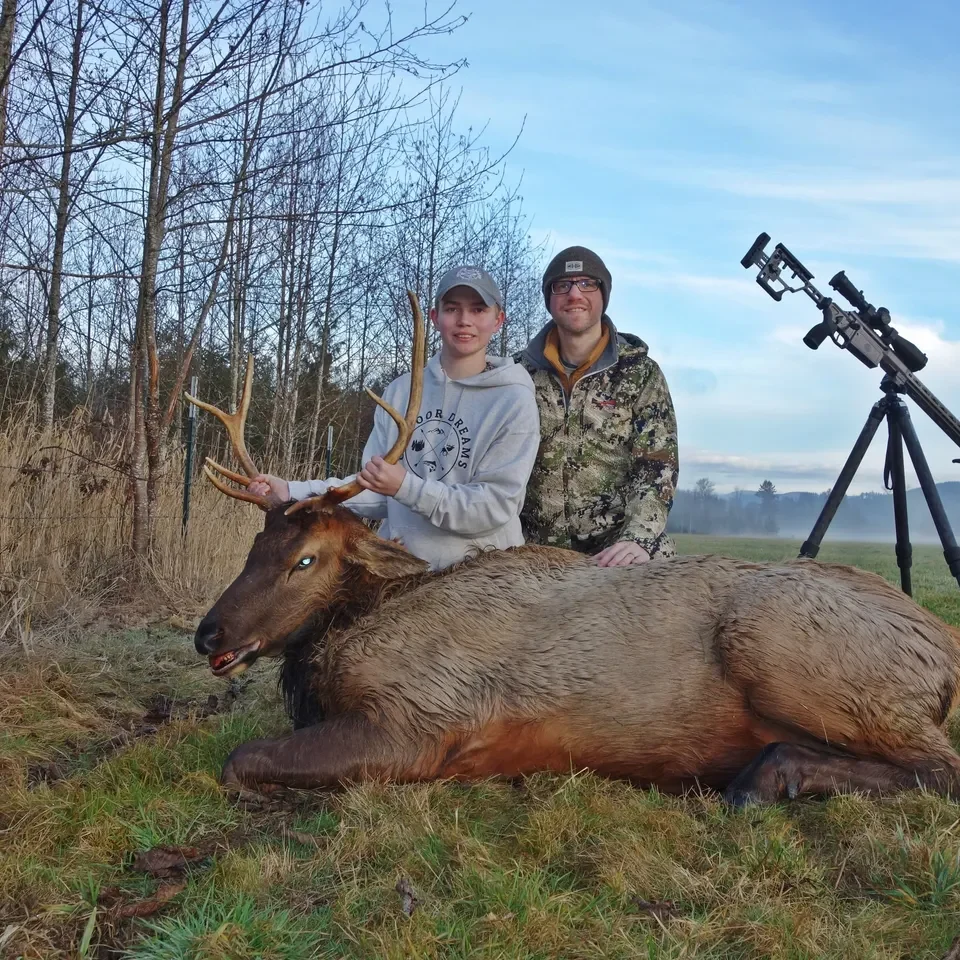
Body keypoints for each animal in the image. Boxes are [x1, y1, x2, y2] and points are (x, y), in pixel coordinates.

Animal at [186, 291, 960, 807]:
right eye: (257, 544)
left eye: (306, 559)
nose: (208, 633)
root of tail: (944, 646)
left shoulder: (421, 717)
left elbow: (239, 758)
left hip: (783, 649)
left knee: (941, 766)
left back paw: (766, 776)